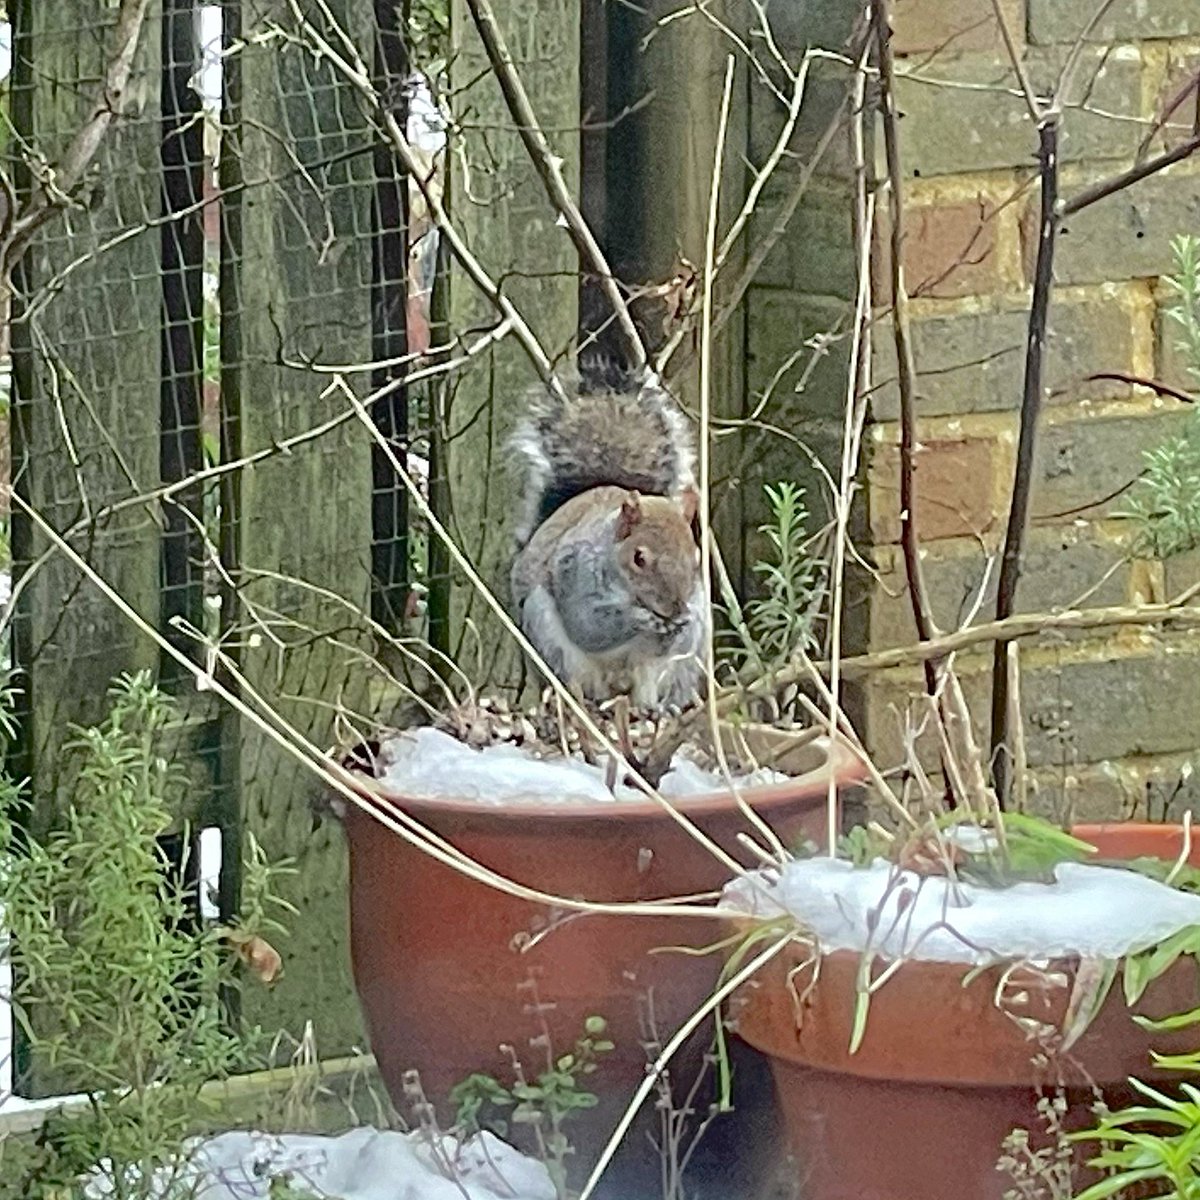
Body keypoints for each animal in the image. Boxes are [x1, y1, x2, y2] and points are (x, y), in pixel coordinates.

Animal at [509, 361, 708, 710]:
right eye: (639, 558)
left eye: (697, 559)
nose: (675, 609)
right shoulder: (573, 571)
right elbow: (589, 625)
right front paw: (640, 619)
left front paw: (675, 625)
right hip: (546, 634)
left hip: (687, 659)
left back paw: (662, 706)